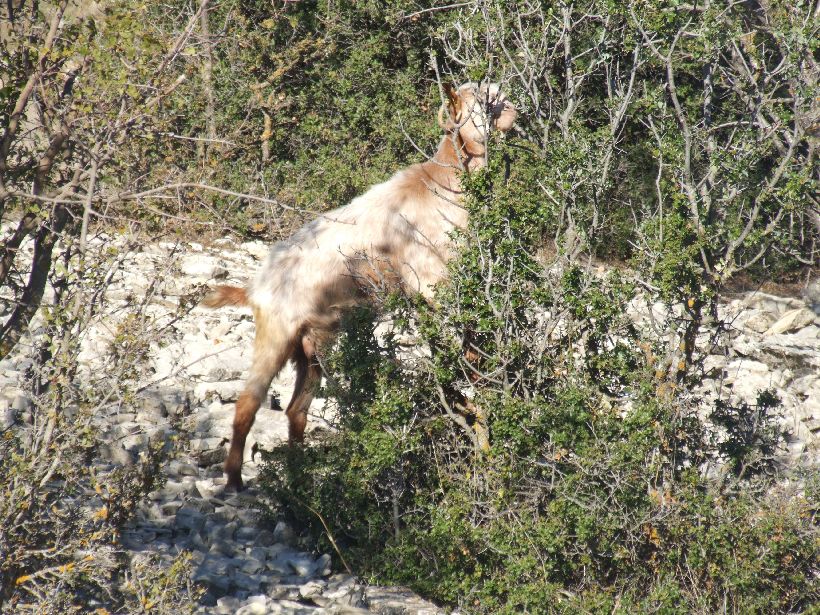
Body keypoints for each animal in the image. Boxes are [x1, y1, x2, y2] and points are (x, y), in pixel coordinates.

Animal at [203, 82, 516, 488]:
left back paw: (300, 474)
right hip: (276, 334)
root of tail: (255, 288)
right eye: (480, 97)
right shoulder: (431, 282)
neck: (444, 185)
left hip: (312, 347)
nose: (509, 103)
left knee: (296, 409)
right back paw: (234, 478)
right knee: (247, 403)